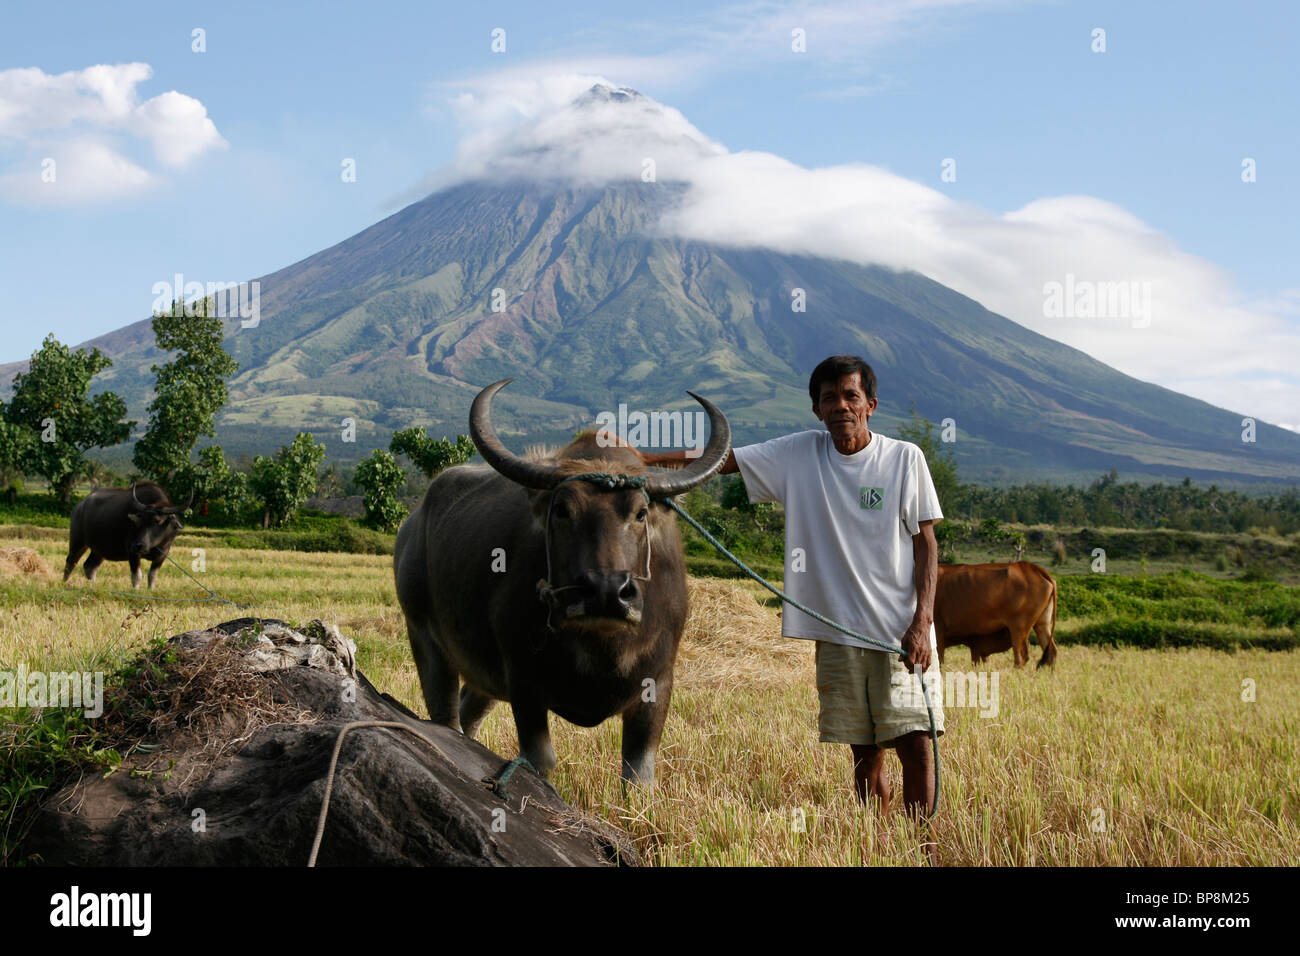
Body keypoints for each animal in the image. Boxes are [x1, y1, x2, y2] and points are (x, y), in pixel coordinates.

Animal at [63, 481, 191, 587]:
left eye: (157, 521)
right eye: (140, 521)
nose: (138, 545)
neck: (154, 545)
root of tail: (79, 506)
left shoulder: (162, 555)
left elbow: (152, 576)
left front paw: (150, 591)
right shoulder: (132, 553)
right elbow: (137, 577)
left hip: (99, 550)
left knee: (90, 566)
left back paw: (92, 586)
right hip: (78, 542)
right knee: (70, 562)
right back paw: (64, 583)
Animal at [390, 377, 728, 790]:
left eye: (641, 512)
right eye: (563, 510)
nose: (605, 594)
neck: (601, 647)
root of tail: (413, 522)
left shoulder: (659, 684)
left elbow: (638, 775)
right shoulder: (523, 678)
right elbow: (540, 759)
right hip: (423, 633)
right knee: (446, 717)